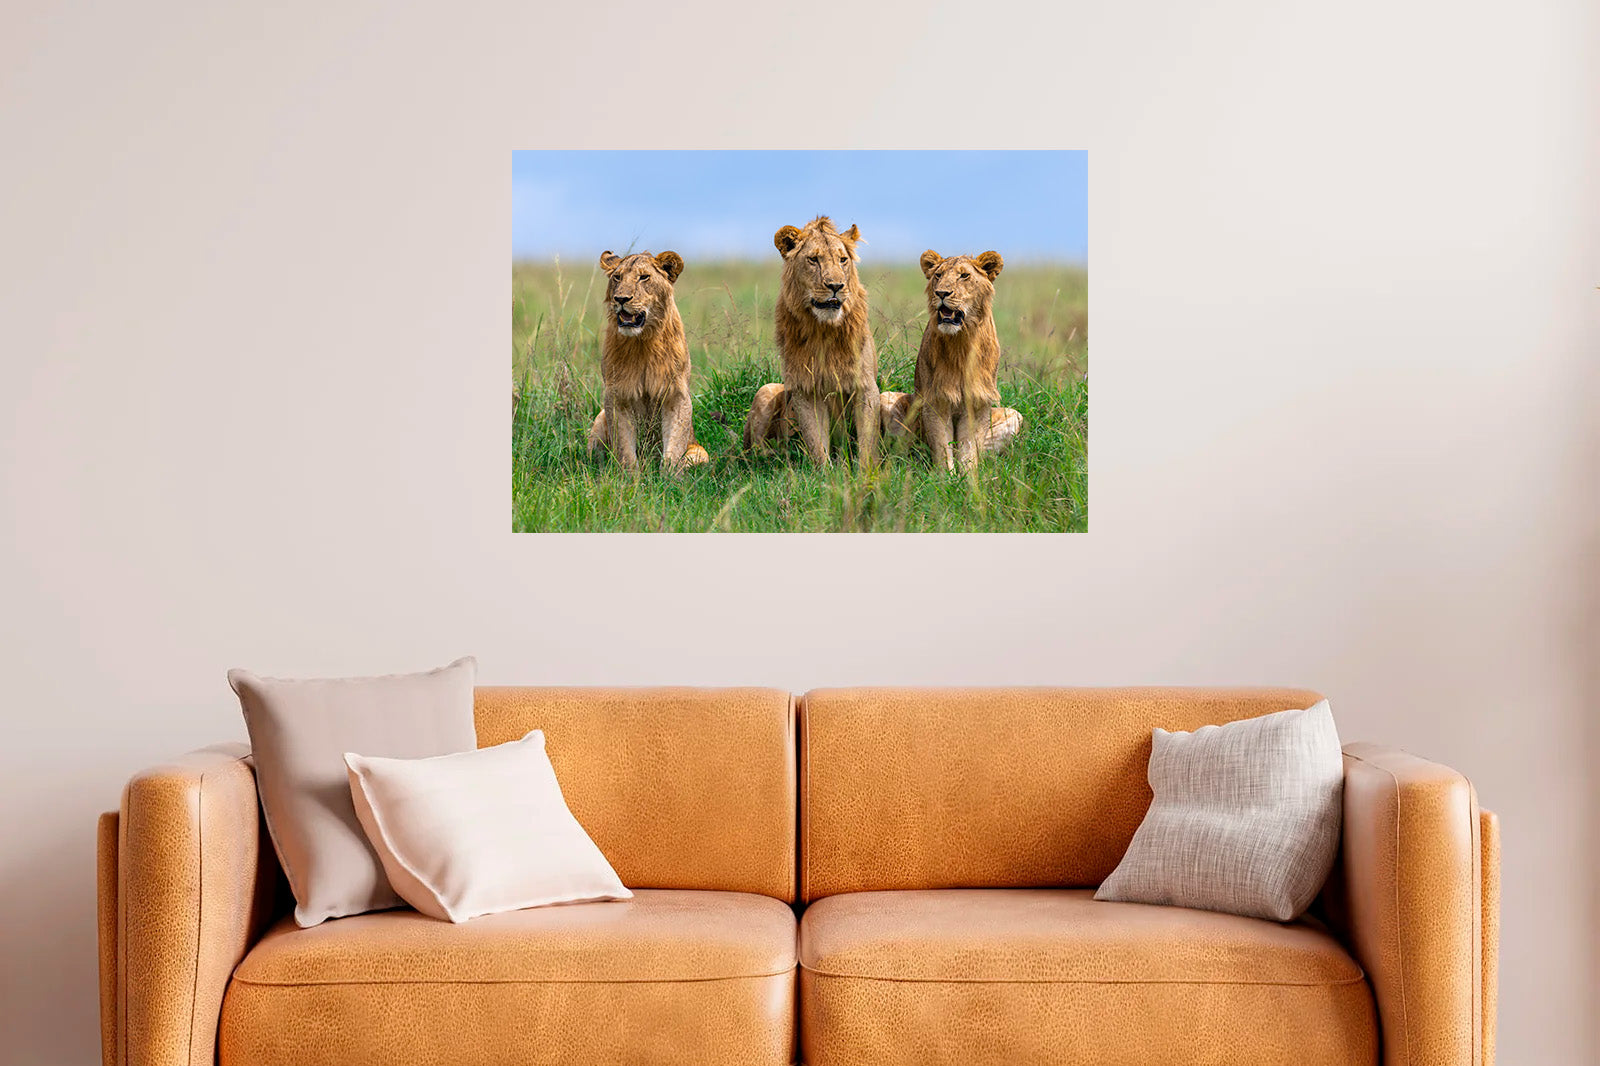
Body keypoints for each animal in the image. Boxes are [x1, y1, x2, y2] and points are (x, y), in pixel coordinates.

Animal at [586, 249, 709, 472]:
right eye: (617, 277)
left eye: (644, 277)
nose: (621, 298)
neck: (642, 343)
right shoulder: (617, 395)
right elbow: (625, 449)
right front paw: (630, 478)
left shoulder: (676, 394)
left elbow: (674, 446)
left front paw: (669, 477)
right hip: (599, 421)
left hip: (702, 454)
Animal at [741, 216, 880, 467]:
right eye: (813, 260)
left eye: (843, 260)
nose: (836, 286)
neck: (824, 329)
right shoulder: (805, 388)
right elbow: (816, 444)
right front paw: (826, 474)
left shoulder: (865, 386)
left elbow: (867, 442)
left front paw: (867, 473)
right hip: (766, 391)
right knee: (754, 452)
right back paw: (780, 456)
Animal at [880, 249, 1023, 471]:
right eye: (938, 275)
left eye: (964, 276)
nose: (941, 293)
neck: (961, 341)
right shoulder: (935, 400)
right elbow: (942, 448)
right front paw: (947, 477)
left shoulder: (978, 402)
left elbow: (969, 451)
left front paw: (968, 478)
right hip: (886, 399)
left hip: (1015, 416)